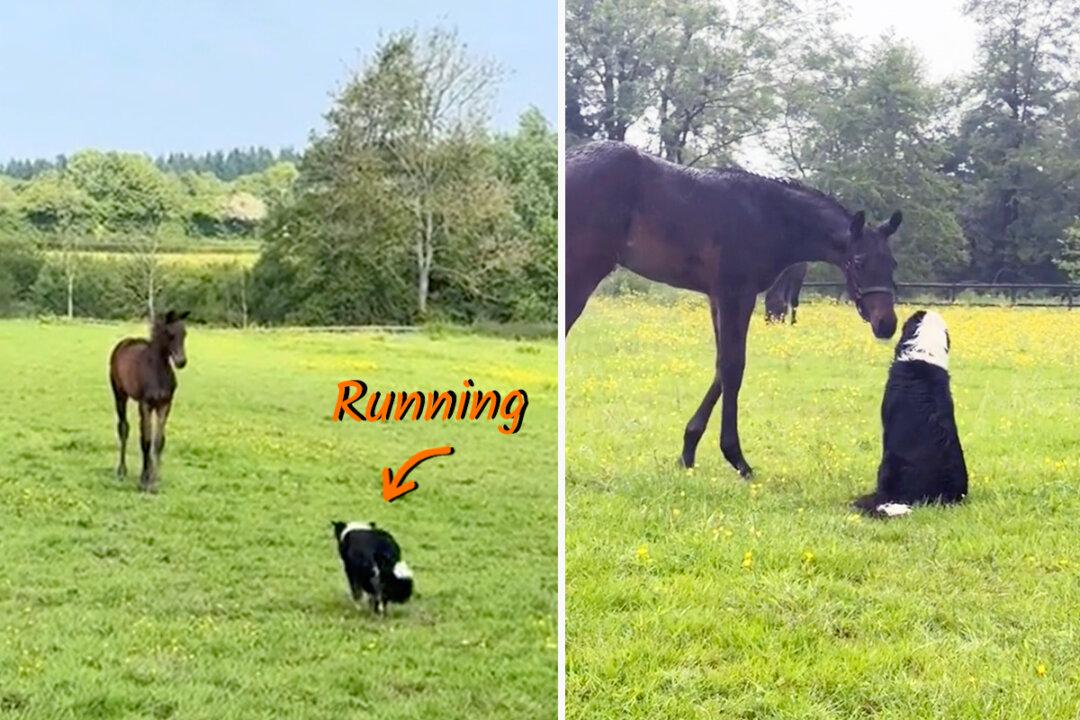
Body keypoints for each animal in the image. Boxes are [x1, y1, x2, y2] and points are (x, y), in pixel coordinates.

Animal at [109, 310, 189, 491]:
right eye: (169, 334)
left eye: (185, 333)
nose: (181, 362)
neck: (157, 372)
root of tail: (125, 342)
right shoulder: (145, 405)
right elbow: (145, 440)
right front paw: (144, 480)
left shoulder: (164, 405)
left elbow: (158, 441)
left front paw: (155, 479)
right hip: (119, 395)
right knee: (123, 428)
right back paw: (121, 470)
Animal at [566, 141, 901, 477]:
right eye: (858, 262)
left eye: (892, 263)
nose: (887, 324)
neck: (769, 217)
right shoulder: (736, 294)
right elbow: (733, 366)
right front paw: (737, 458)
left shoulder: (717, 297)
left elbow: (721, 366)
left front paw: (688, 450)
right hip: (582, 272)